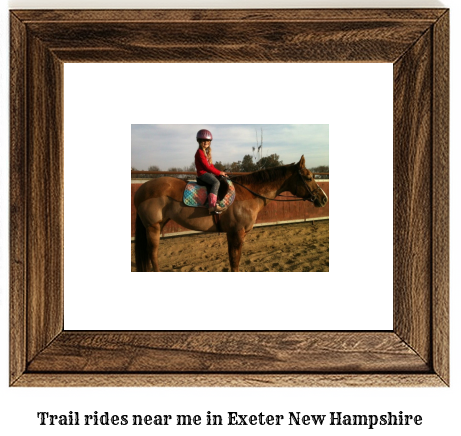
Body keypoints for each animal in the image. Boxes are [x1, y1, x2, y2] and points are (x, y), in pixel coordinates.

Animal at [133, 155, 328, 270]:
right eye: (308, 178)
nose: (323, 198)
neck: (248, 194)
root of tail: (141, 189)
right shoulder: (237, 233)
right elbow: (235, 262)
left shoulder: (233, 234)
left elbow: (234, 260)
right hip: (152, 227)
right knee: (153, 254)